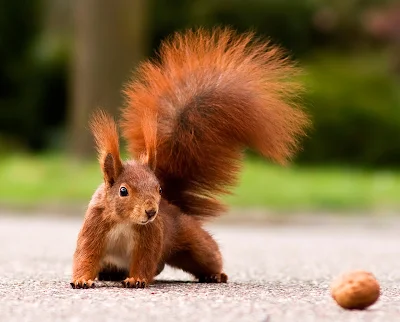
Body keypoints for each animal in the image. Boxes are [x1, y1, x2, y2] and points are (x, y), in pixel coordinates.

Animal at [71, 27, 310, 290]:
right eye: (123, 191)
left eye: (159, 189)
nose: (151, 212)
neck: (125, 221)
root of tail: (173, 208)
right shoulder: (95, 226)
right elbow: (86, 254)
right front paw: (82, 279)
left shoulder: (151, 235)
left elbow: (144, 259)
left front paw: (136, 279)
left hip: (193, 243)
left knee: (205, 256)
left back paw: (215, 275)